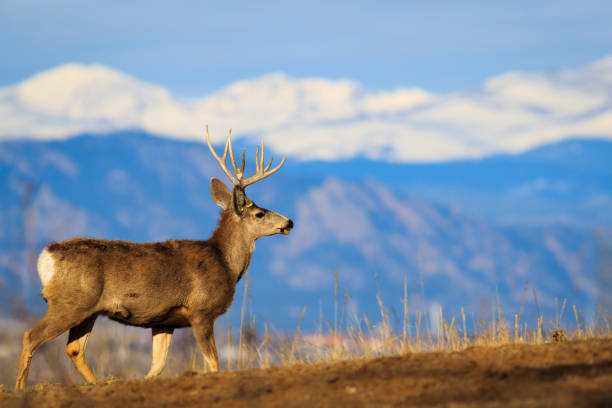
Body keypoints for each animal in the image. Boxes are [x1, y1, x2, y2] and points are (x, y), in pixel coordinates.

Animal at [13, 126, 292, 388]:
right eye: (259, 213)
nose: (289, 222)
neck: (224, 262)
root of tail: (46, 256)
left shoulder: (164, 320)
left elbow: (157, 366)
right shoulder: (200, 311)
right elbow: (213, 364)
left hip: (87, 309)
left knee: (74, 348)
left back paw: (99, 384)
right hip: (70, 302)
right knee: (30, 336)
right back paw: (21, 389)